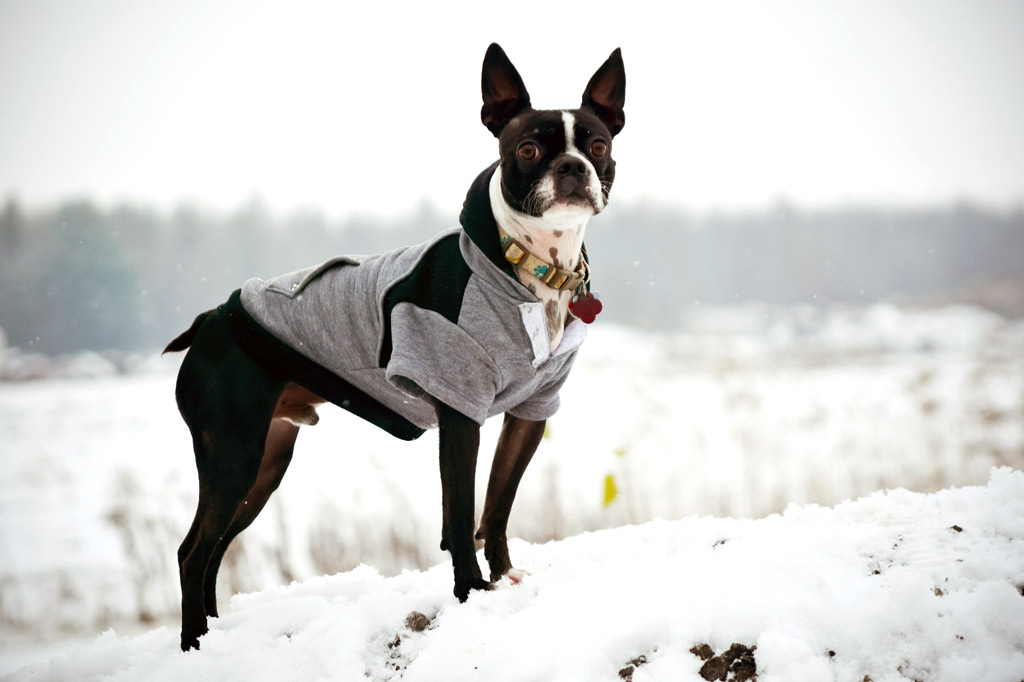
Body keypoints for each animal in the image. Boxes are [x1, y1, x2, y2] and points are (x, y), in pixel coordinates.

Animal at [163, 42, 622, 647]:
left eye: (598, 145)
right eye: (527, 149)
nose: (573, 167)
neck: (531, 265)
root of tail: (210, 319)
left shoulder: (530, 412)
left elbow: (497, 505)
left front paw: (504, 582)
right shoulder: (459, 409)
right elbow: (461, 514)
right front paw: (472, 595)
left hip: (263, 461)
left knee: (214, 549)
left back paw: (216, 637)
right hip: (233, 452)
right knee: (193, 552)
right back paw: (195, 645)